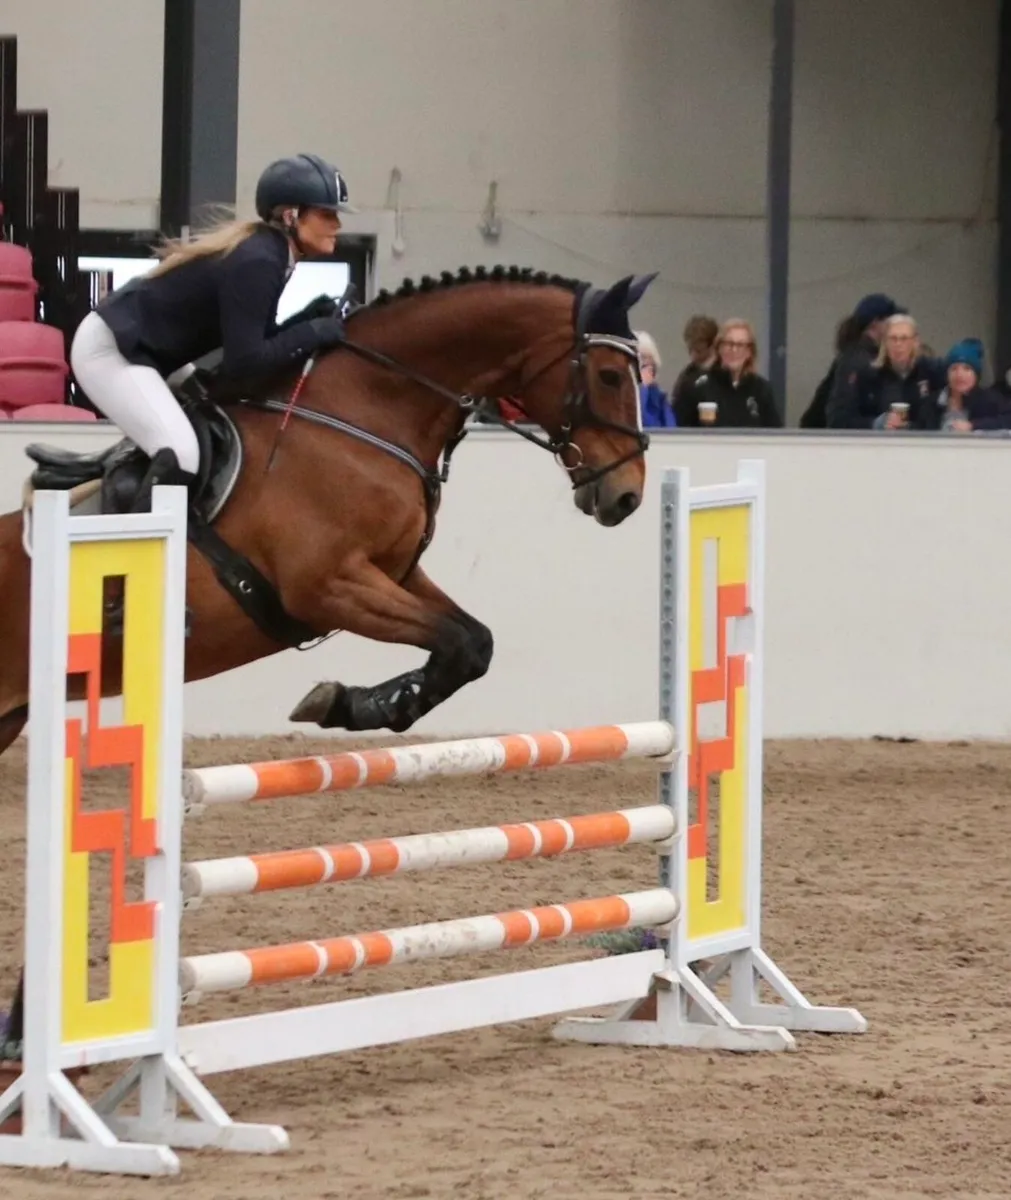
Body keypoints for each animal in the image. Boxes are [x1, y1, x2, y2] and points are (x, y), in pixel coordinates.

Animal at [0, 265, 656, 759]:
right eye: (608, 375)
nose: (627, 494)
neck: (360, 414)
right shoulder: (328, 586)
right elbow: (455, 642)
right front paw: (356, 701)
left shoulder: (392, 573)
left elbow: (473, 642)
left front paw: (356, 703)